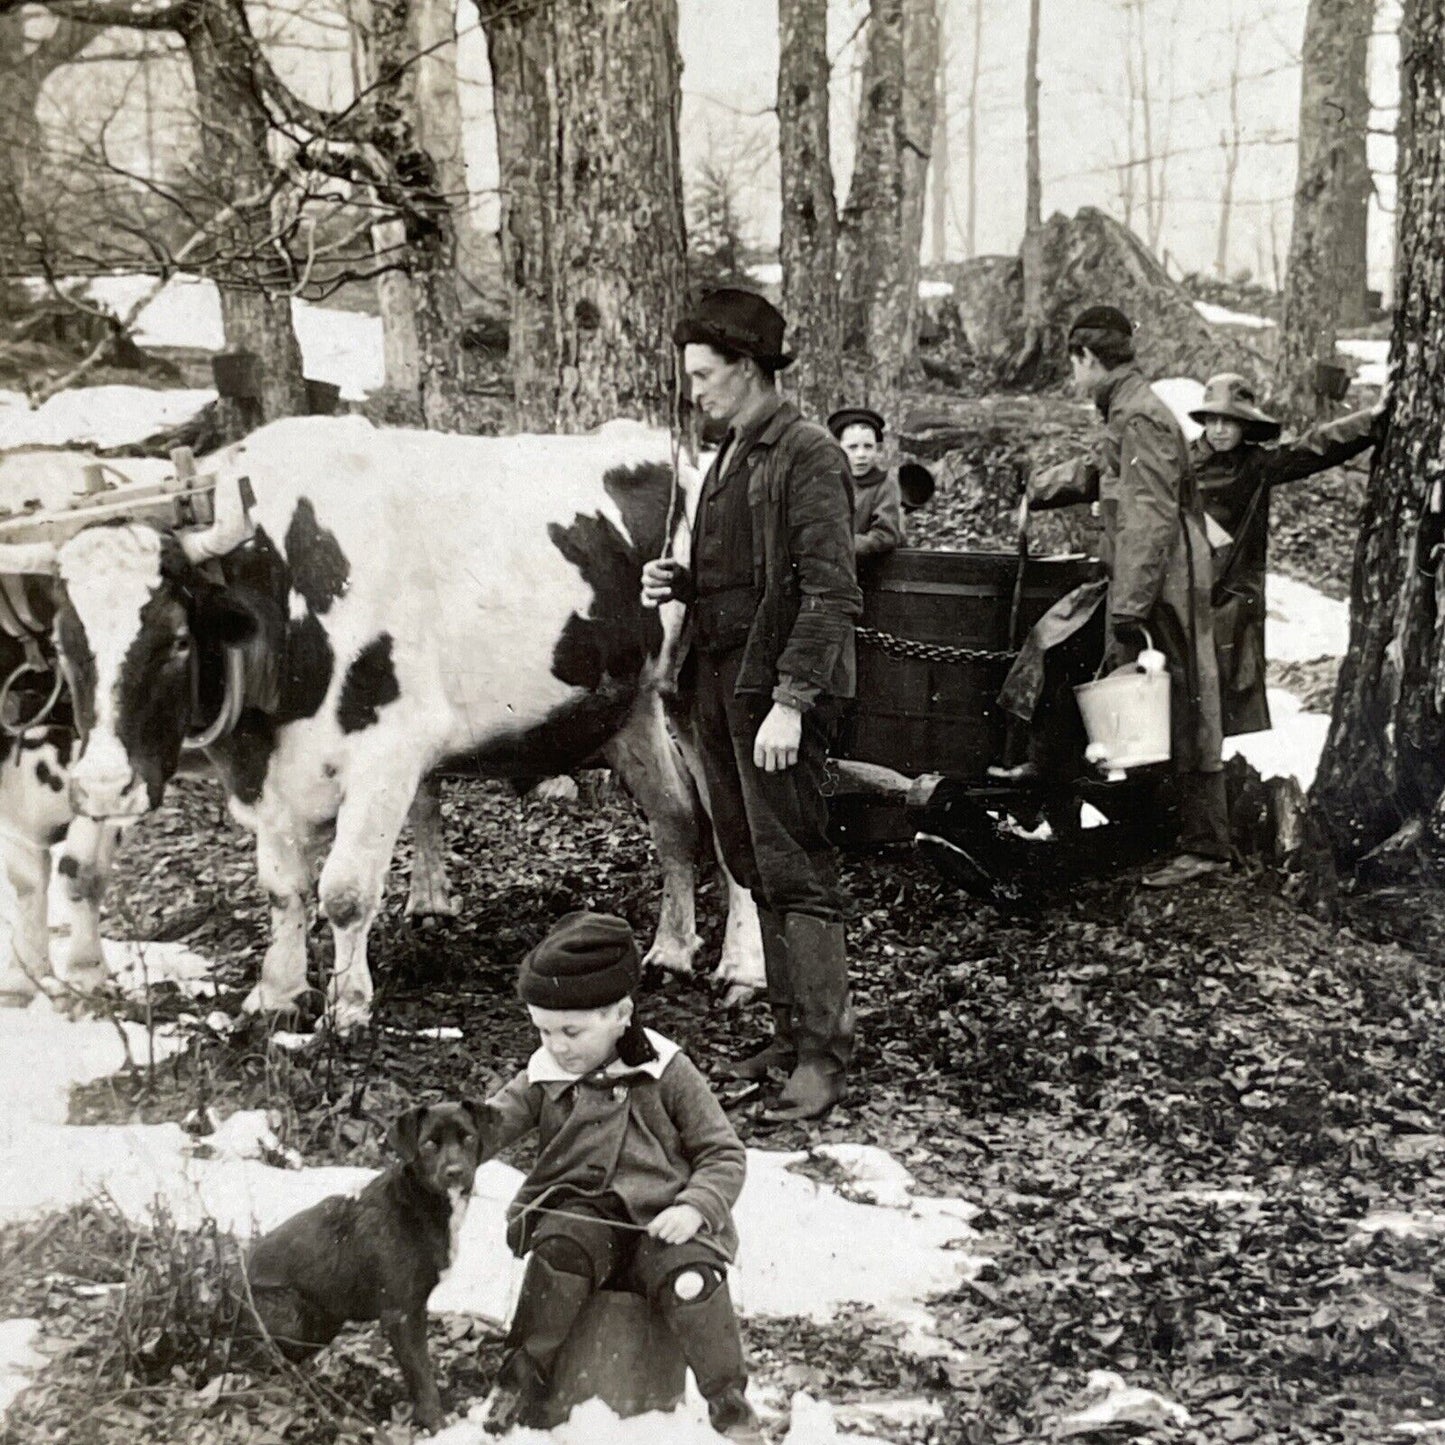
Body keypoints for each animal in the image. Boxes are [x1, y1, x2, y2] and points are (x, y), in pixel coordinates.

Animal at [0, 416, 762, 1028]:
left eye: (178, 640)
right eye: (63, 643)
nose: (102, 787)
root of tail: (676, 451)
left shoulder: (389, 757)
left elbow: (342, 891)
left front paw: (348, 1006)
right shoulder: (267, 778)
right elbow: (282, 887)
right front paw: (277, 993)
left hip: (696, 697)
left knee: (730, 830)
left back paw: (742, 967)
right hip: (626, 706)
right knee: (676, 819)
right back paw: (670, 948)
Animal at [247, 1103, 485, 1421]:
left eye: (468, 1137)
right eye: (429, 1144)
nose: (455, 1172)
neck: (417, 1204)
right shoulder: (400, 1314)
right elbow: (422, 1375)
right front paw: (435, 1421)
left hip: (326, 1320)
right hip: (295, 1313)